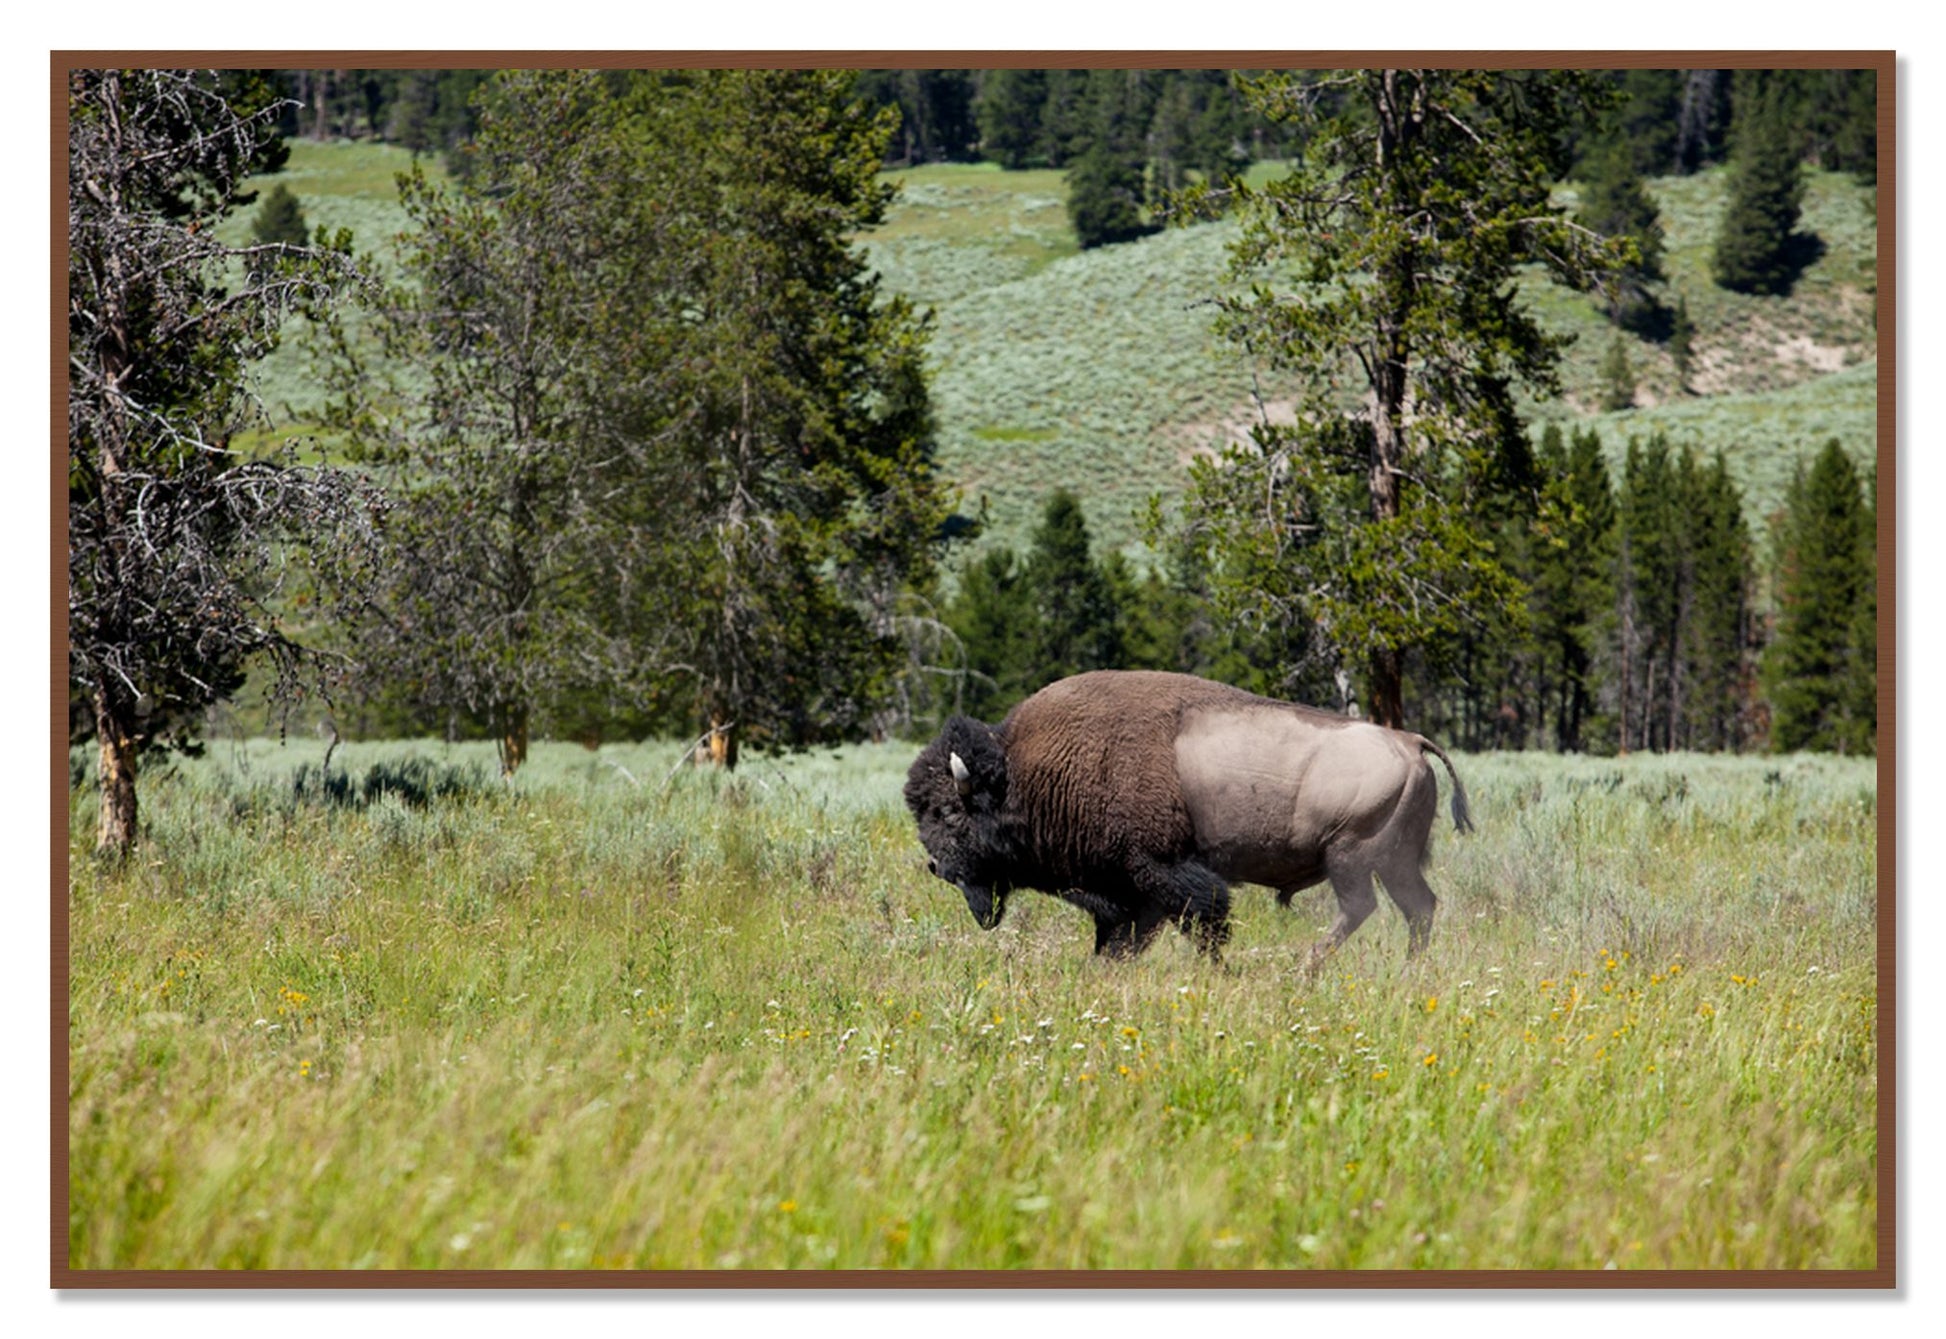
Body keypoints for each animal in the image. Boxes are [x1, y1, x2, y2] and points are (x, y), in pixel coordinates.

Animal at [904, 670, 1472, 969]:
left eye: (949, 812)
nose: (935, 866)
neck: (1025, 773)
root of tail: (1409, 742)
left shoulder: (1162, 872)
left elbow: (1204, 921)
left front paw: (1217, 970)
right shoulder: (1128, 892)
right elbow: (1122, 939)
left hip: (1350, 856)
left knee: (1361, 907)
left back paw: (1305, 967)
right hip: (1394, 862)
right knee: (1418, 907)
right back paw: (1408, 969)